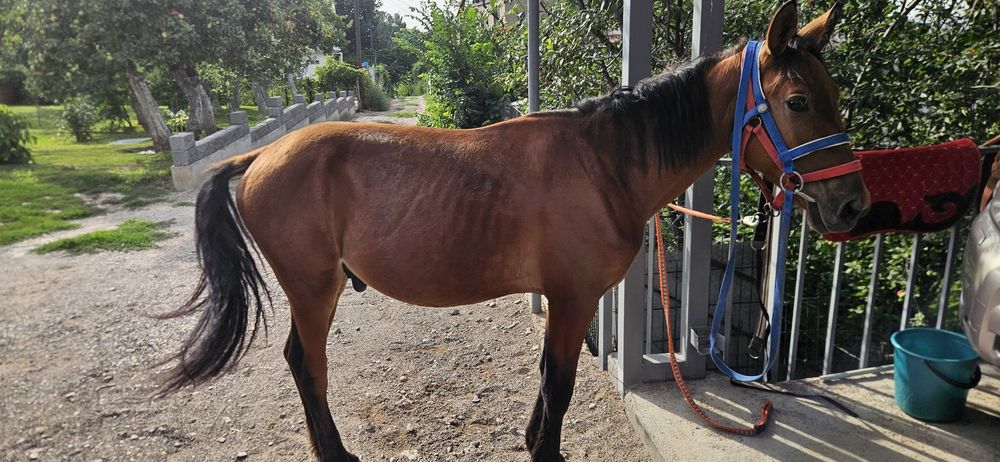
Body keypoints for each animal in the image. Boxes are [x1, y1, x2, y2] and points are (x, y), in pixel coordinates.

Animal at [160, 2, 869, 461]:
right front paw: (544, 451)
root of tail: (258, 157)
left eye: (835, 96)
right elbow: (558, 383)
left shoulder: (565, 299)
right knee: (308, 366)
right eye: (798, 101)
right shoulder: (574, 298)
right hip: (313, 289)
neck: (603, 165)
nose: (852, 205)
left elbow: (548, 377)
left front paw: (532, 439)